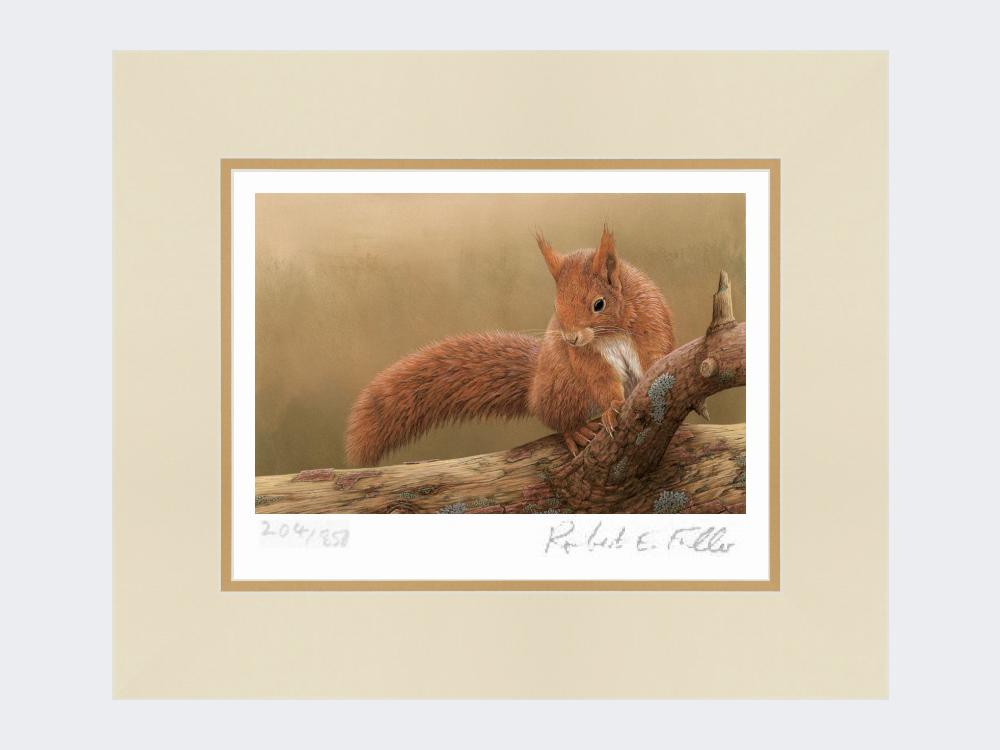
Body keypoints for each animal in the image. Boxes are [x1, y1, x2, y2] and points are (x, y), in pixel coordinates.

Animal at [345, 226, 675, 466]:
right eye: (555, 307)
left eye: (599, 304)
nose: (570, 338)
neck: (608, 333)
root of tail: (534, 388)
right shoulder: (586, 358)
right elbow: (600, 379)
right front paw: (611, 409)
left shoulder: (650, 322)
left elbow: (656, 354)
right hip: (564, 386)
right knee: (558, 418)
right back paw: (577, 431)